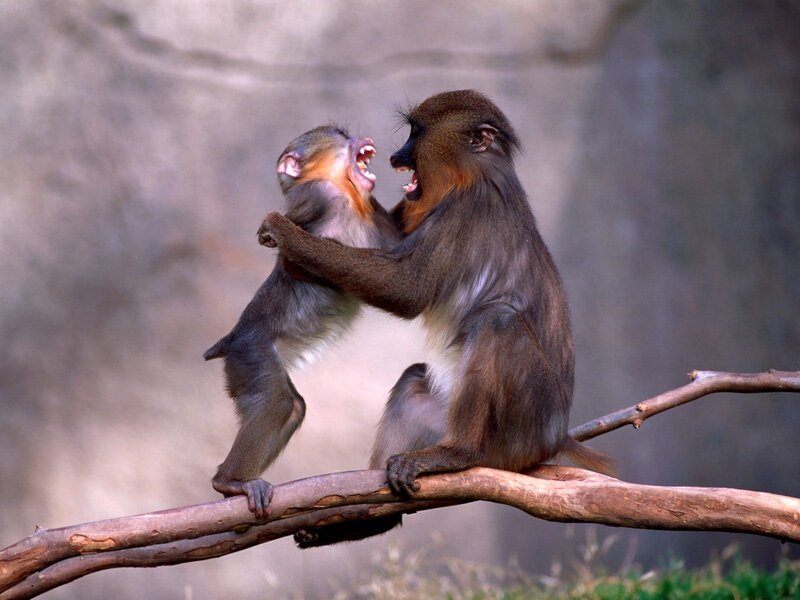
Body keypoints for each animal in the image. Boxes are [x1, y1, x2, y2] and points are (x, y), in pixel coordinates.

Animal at [204, 125, 400, 518]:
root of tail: (231, 338)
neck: (347, 195)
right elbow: (295, 255)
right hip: (252, 355)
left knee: (293, 407)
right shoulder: (315, 198)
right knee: (276, 403)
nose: (362, 138)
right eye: (339, 133)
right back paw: (230, 482)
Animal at [258, 90, 613, 546]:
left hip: (519, 429)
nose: (396, 156)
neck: (476, 172)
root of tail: (554, 437)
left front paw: (284, 231)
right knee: (413, 380)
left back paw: (458, 455)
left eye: (417, 132)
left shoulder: (463, 211)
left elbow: (407, 289)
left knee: (498, 322)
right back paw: (375, 518)